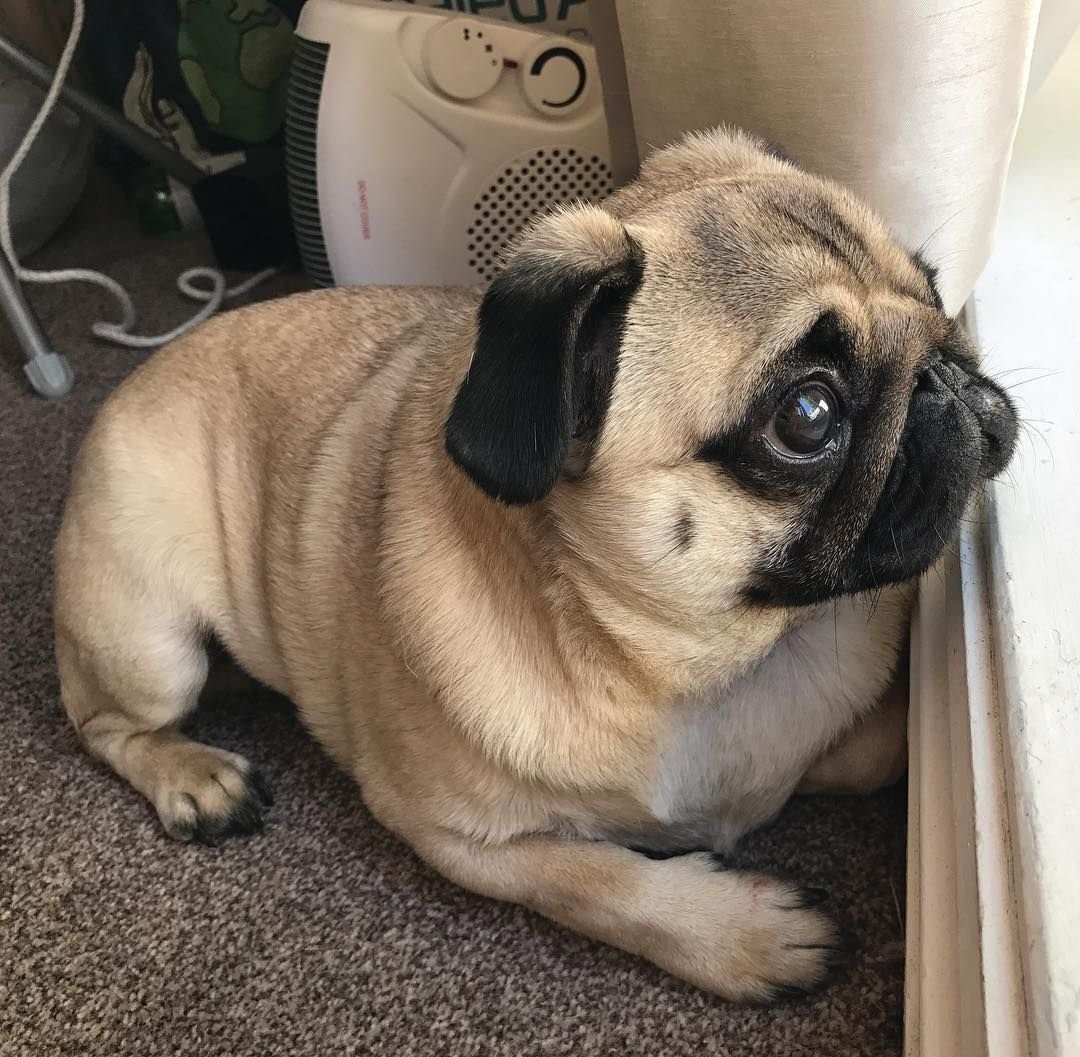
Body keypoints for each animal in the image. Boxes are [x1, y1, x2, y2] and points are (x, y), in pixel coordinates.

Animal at [54, 126, 1015, 1001]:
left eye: (932, 284)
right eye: (809, 413)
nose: (945, 375)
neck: (703, 666)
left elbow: (870, 753)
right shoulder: (463, 838)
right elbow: (605, 881)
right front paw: (744, 935)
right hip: (150, 640)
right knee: (107, 725)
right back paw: (196, 780)